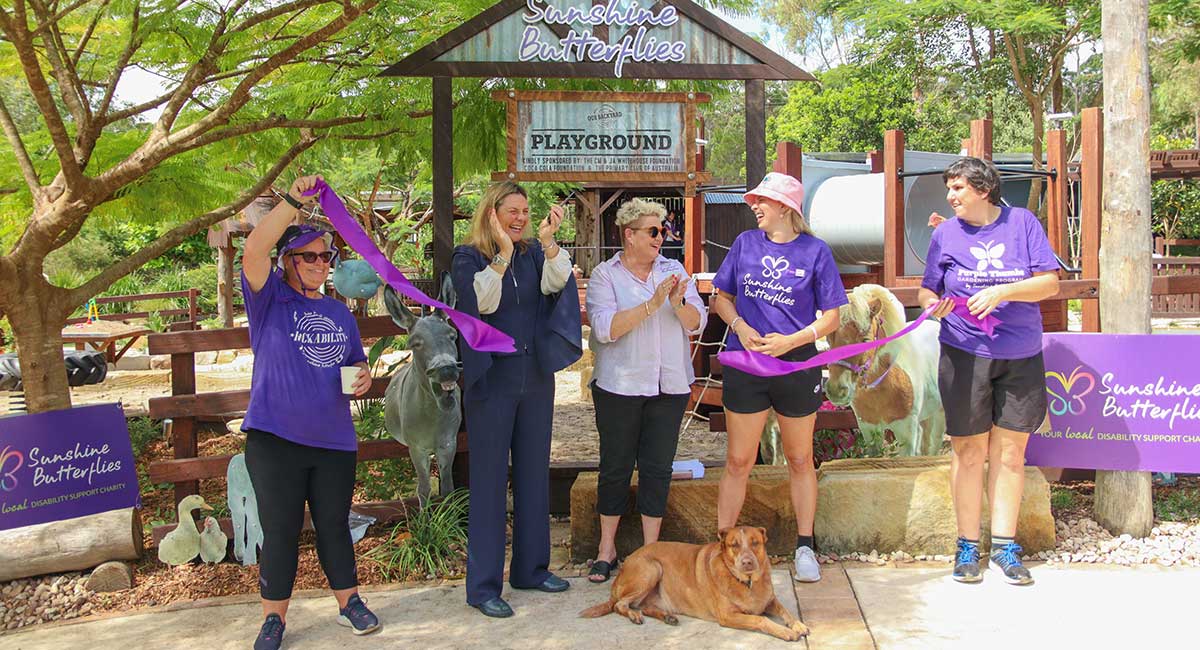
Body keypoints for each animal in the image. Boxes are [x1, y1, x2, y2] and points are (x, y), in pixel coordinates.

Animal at [578, 527, 811, 642]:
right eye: (734, 545)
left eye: (755, 543)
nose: (747, 562)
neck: (748, 583)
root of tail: (622, 569)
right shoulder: (728, 616)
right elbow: (760, 619)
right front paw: (786, 632)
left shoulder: (770, 600)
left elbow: (785, 611)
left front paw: (798, 624)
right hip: (652, 569)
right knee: (620, 604)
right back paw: (634, 615)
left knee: (644, 606)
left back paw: (668, 617)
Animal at [825, 285, 945, 458]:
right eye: (829, 339)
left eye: (865, 340)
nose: (836, 390)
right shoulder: (869, 430)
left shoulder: (906, 433)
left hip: (940, 415)